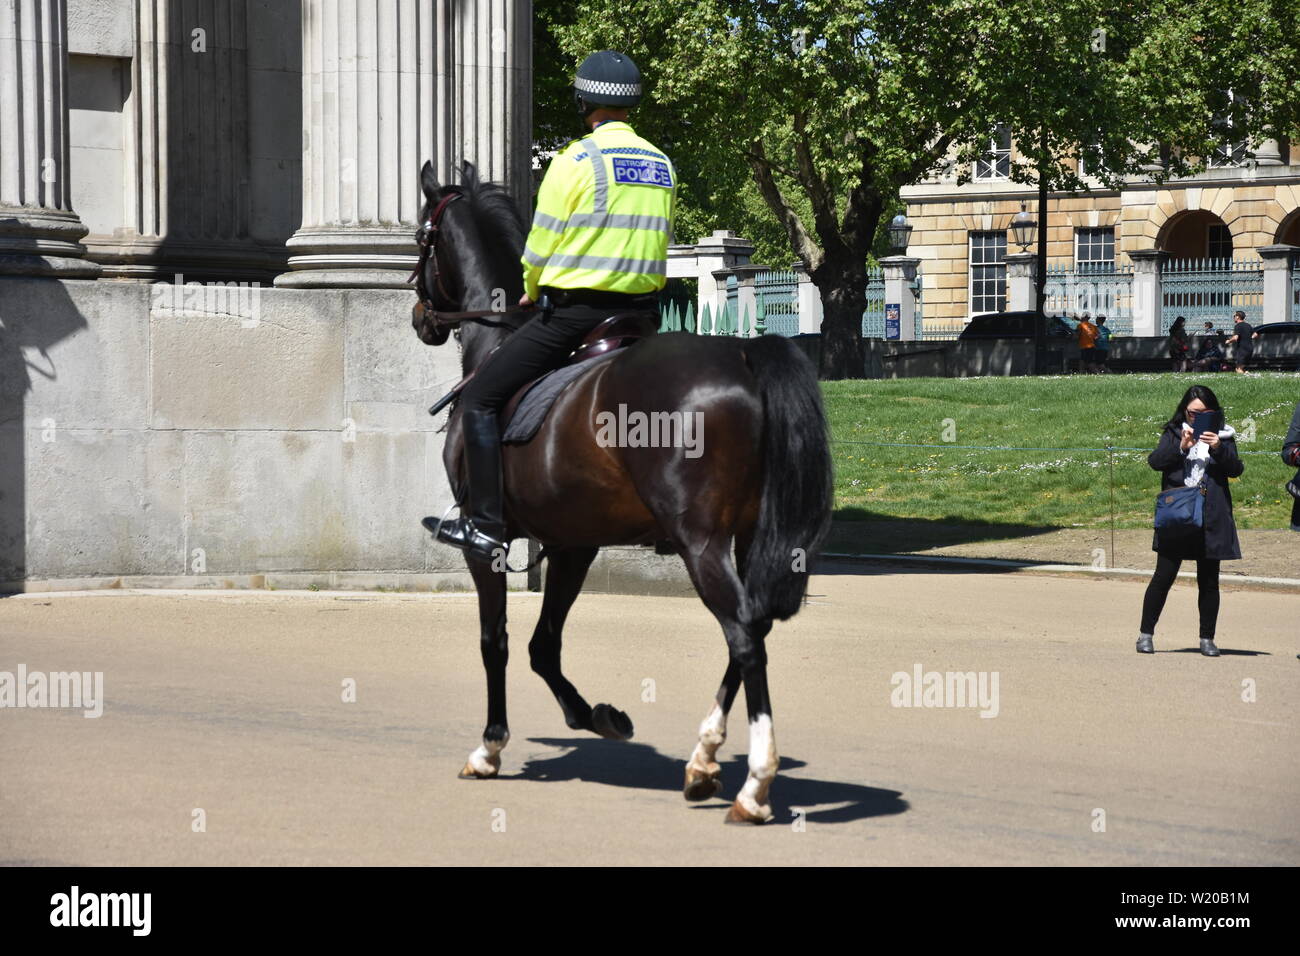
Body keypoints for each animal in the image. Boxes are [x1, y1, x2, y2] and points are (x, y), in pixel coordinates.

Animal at [410, 159, 833, 824]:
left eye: (419, 235)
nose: (420, 318)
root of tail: (742, 352)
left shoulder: (490, 545)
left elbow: (496, 642)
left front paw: (490, 746)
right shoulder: (573, 543)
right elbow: (543, 646)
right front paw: (596, 716)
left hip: (701, 543)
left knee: (743, 633)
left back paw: (753, 785)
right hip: (747, 540)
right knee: (753, 630)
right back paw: (703, 759)